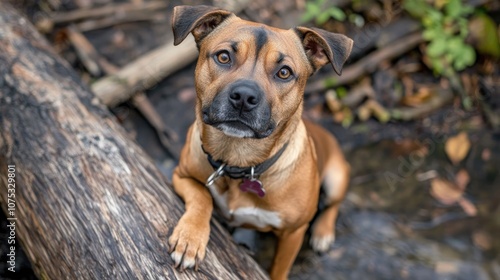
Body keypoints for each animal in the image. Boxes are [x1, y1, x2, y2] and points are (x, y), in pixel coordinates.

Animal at [168, 4, 352, 280]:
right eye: (224, 57)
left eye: (284, 72)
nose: (244, 96)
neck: (237, 160)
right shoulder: (181, 175)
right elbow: (202, 196)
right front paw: (189, 238)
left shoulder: (293, 233)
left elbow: (279, 268)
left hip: (336, 177)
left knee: (333, 204)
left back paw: (323, 233)